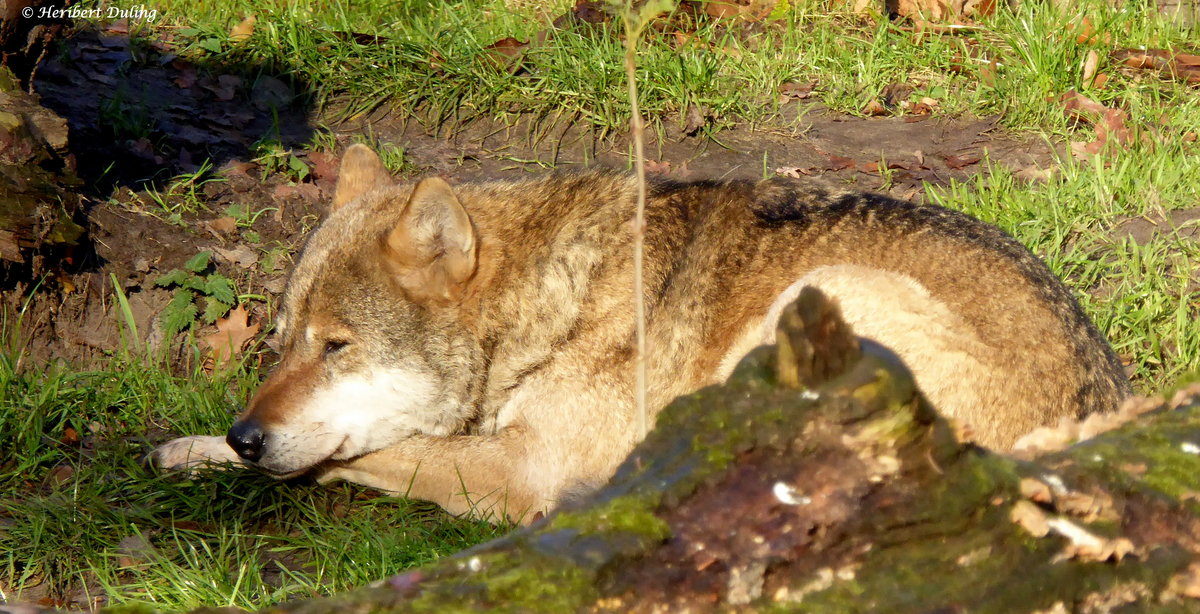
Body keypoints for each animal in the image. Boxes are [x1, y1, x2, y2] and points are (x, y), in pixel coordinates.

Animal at [147, 143, 1123, 522]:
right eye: (280, 340)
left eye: (337, 346)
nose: (247, 432)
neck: (552, 300)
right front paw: (201, 449)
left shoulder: (523, 467)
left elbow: (367, 453)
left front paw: (197, 451)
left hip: (813, 300)